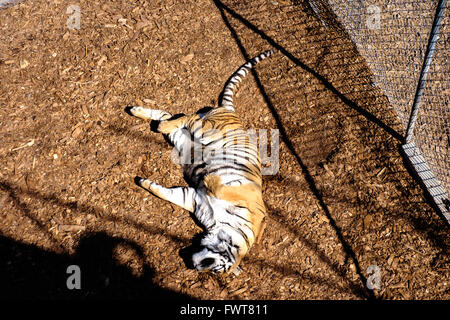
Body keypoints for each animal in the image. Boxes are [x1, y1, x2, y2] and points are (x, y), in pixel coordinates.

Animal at [125, 50, 276, 276]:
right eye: (216, 265)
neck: (225, 226)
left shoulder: (192, 198)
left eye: (214, 271)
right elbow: (219, 185)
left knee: (167, 115)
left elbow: (164, 193)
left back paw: (136, 111)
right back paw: (159, 124)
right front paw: (210, 178)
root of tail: (229, 111)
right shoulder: (231, 193)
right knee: (188, 117)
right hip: (205, 132)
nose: (194, 265)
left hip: (182, 139)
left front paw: (142, 181)